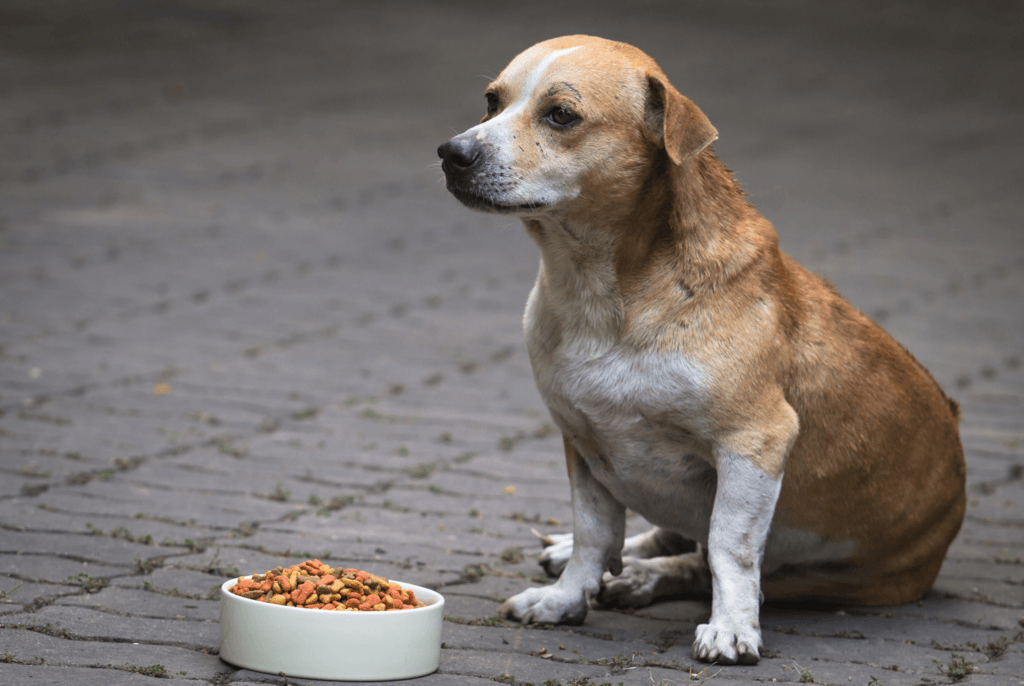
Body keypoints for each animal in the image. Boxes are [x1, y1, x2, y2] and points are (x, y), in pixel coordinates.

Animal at [436, 36, 962, 667]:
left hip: (825, 577)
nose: (452, 153)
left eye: (561, 115)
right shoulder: (583, 441)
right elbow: (593, 533)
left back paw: (647, 577)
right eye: (492, 101)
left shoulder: (754, 443)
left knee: (701, 563)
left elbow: (728, 549)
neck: (598, 291)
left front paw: (732, 628)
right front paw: (566, 597)